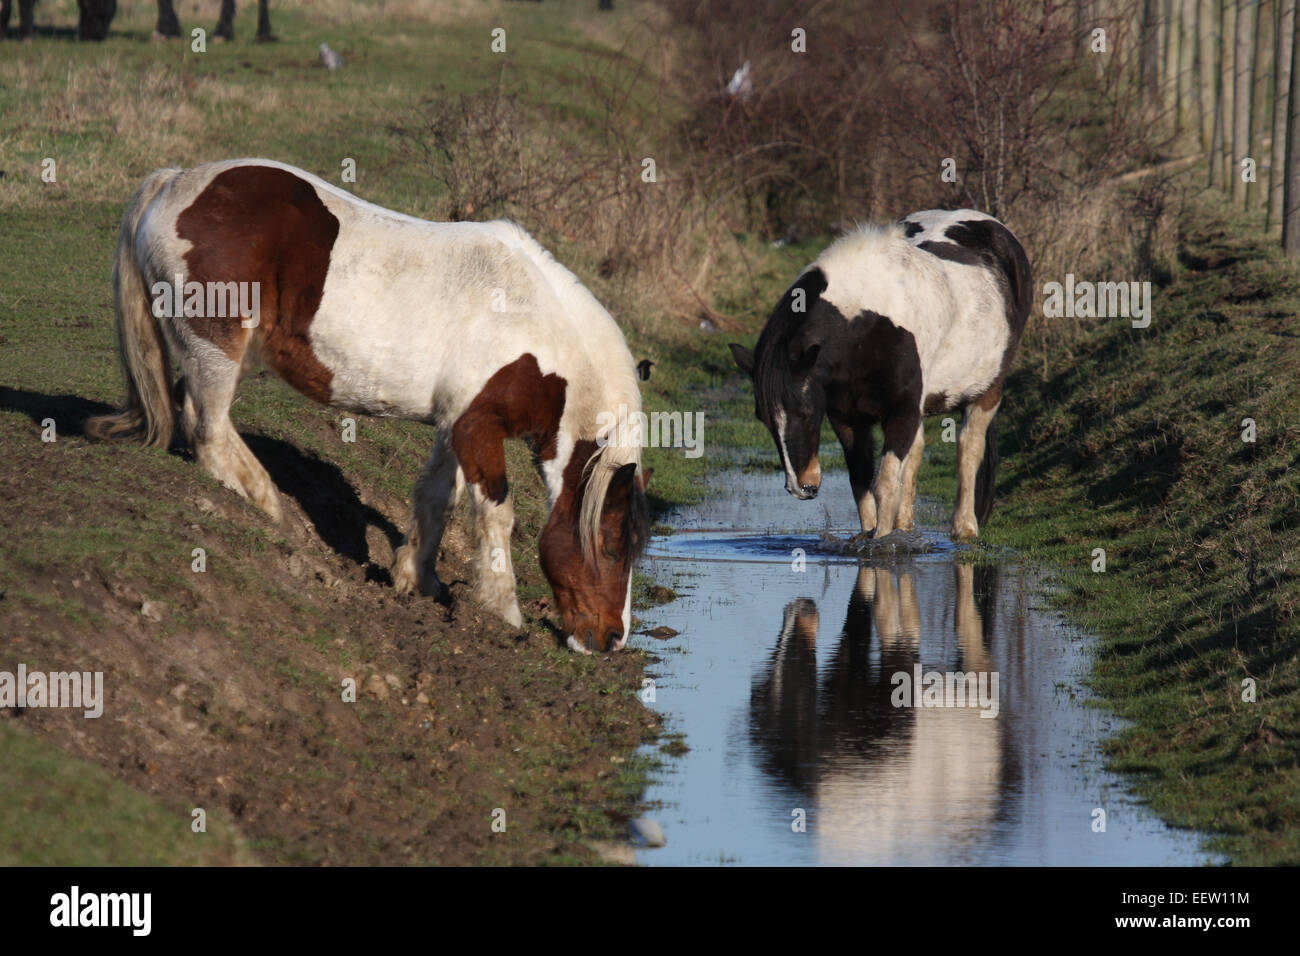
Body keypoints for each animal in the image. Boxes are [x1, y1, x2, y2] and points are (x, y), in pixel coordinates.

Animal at [86, 159, 649, 654]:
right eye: (613, 548)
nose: (611, 640)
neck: (527, 323)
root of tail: (174, 183)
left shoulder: (453, 426)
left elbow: (436, 499)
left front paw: (418, 579)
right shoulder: (478, 427)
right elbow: (497, 514)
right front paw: (502, 612)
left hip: (225, 354)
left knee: (199, 416)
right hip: (218, 347)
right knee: (209, 431)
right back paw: (264, 507)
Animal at [730, 209, 1032, 540]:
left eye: (806, 413)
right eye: (764, 418)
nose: (802, 487)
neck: (867, 325)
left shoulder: (901, 412)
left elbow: (884, 485)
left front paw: (883, 544)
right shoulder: (849, 420)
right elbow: (861, 482)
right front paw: (873, 536)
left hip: (988, 391)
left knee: (969, 448)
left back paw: (964, 528)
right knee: (916, 455)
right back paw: (906, 526)